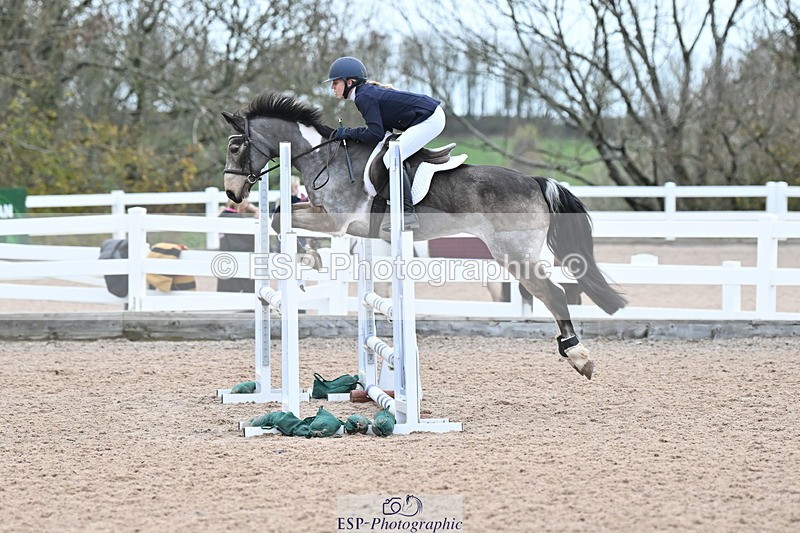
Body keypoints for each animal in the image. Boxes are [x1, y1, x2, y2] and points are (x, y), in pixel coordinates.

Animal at [222, 91, 627, 379]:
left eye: (235, 146)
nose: (232, 194)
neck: (324, 159)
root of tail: (536, 181)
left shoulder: (335, 221)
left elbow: (279, 218)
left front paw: (308, 258)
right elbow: (280, 218)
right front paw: (309, 259)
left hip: (513, 253)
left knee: (554, 294)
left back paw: (578, 357)